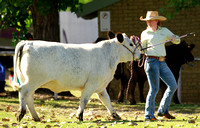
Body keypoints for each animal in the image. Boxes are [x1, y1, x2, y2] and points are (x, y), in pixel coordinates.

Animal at [12, 32, 141, 121]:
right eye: (131, 44)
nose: (140, 55)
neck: (107, 56)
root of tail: (28, 42)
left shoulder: (101, 86)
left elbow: (107, 101)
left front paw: (115, 115)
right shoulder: (91, 84)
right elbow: (84, 100)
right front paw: (80, 116)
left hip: (30, 80)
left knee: (29, 96)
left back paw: (35, 117)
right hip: (34, 80)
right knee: (23, 91)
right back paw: (21, 113)